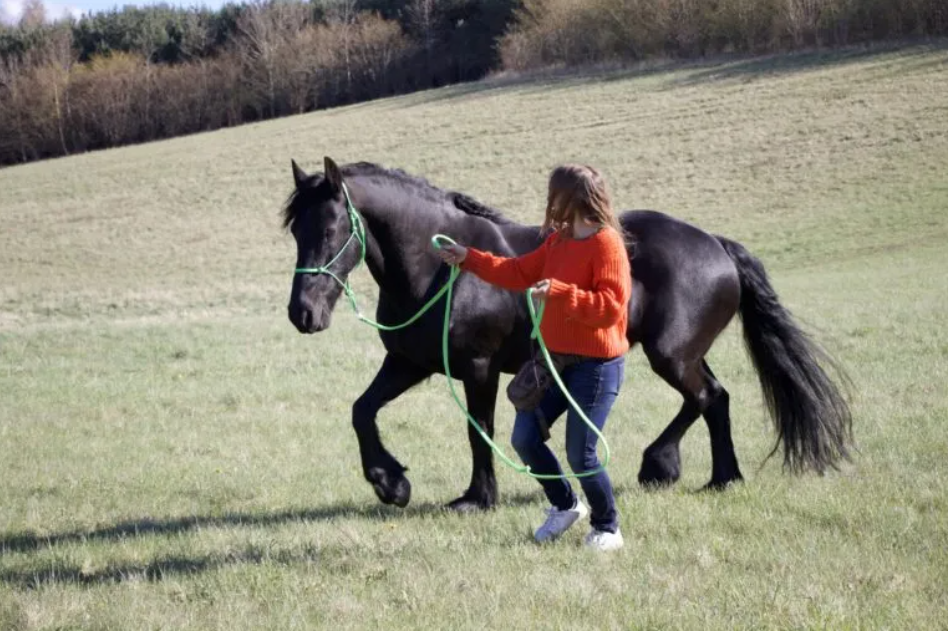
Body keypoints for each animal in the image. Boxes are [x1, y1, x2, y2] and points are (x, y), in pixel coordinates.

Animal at [284, 158, 852, 512]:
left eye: (331, 229)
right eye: (295, 230)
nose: (302, 313)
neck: (438, 268)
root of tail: (715, 243)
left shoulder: (478, 368)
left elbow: (478, 430)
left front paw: (476, 497)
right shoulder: (410, 363)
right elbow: (362, 411)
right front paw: (391, 484)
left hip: (671, 355)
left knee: (708, 397)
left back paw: (685, 470)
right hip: (682, 354)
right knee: (714, 398)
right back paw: (700, 472)